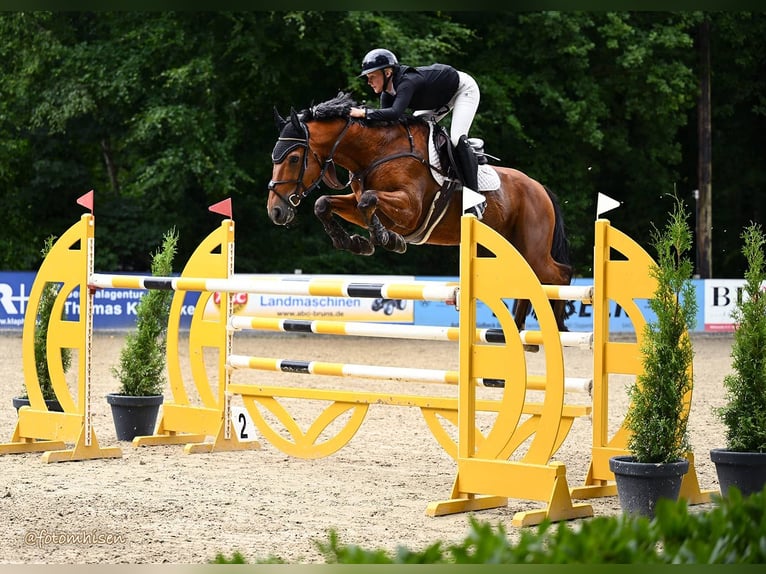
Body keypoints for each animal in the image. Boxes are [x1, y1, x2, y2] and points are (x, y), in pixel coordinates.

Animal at [267, 92, 573, 333]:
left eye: (293, 158)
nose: (276, 212)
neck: (377, 151)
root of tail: (540, 188)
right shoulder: (358, 202)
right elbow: (326, 203)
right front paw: (355, 242)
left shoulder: (410, 209)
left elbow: (369, 200)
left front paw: (387, 239)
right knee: (531, 280)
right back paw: (520, 329)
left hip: (533, 248)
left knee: (560, 275)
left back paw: (557, 328)